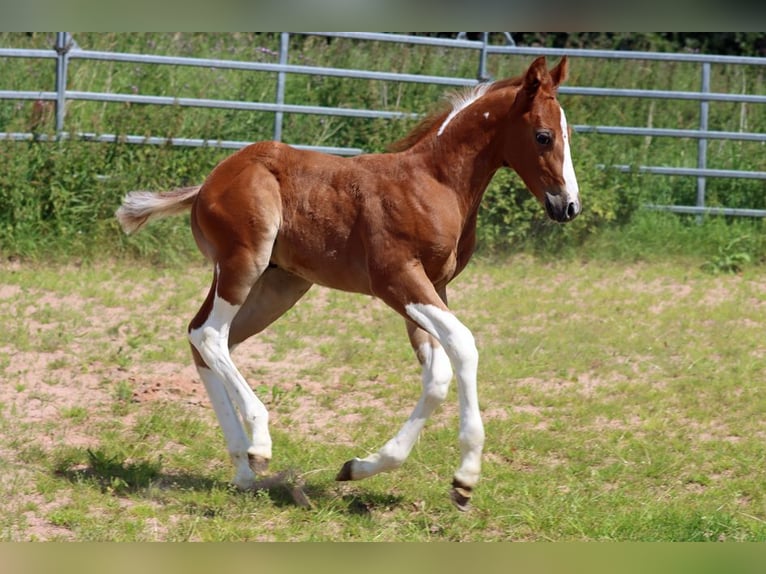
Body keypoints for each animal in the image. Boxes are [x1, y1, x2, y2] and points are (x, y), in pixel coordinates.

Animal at [115, 56, 584, 510]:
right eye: (543, 136)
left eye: (569, 133)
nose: (569, 207)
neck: (435, 183)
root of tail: (207, 184)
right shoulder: (397, 280)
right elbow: (464, 346)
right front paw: (465, 478)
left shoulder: (433, 287)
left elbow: (437, 376)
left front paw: (360, 467)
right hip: (243, 264)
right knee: (210, 334)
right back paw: (260, 443)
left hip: (278, 286)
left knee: (204, 337)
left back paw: (244, 469)